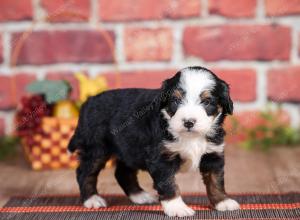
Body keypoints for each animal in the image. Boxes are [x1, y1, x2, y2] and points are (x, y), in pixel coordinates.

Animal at [68, 65, 239, 217]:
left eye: (207, 102)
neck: (190, 137)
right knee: (84, 172)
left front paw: (223, 202)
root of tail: (88, 102)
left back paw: (140, 196)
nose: (188, 122)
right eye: (175, 100)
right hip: (96, 148)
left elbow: (216, 181)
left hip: (129, 148)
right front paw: (177, 208)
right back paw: (92, 199)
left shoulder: (213, 154)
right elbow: (169, 184)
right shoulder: (161, 158)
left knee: (123, 173)